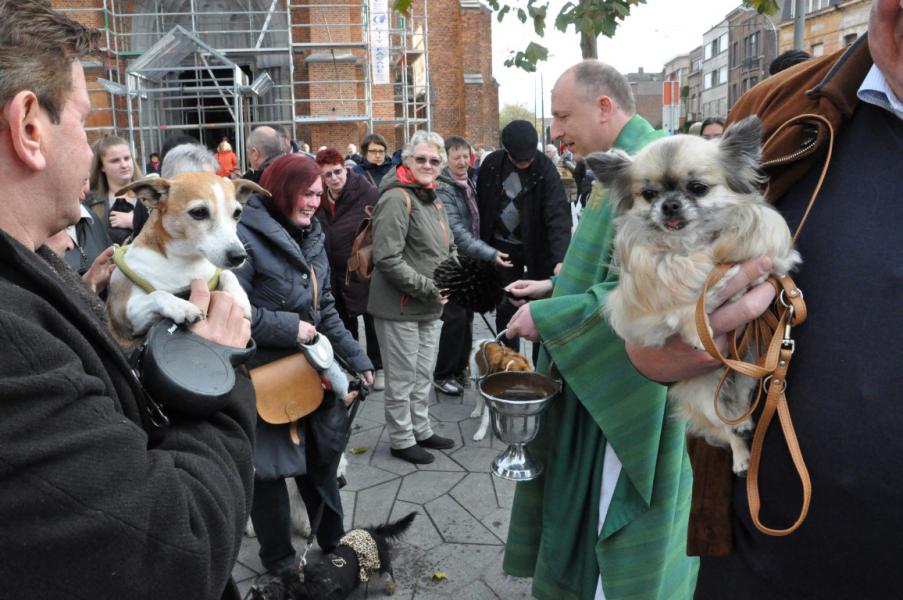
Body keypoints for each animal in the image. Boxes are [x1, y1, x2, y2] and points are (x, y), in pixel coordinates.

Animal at [106, 171, 266, 346]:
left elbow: (227, 273)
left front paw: (240, 299)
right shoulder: (126, 316)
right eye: (199, 212)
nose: (239, 256)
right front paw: (182, 307)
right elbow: (158, 294)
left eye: (237, 213)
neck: (185, 262)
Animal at [247, 510, 416, 600]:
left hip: (379, 560)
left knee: (388, 570)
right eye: (252, 595)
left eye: (263, 597)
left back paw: (390, 586)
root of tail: (373, 531)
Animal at [588, 116, 800, 474]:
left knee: (739, 405)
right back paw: (741, 457)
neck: (690, 246)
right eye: (649, 194)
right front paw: (700, 329)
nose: (670, 203)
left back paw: (744, 421)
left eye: (698, 188)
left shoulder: (772, 260)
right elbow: (686, 304)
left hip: (752, 372)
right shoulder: (637, 314)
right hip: (706, 402)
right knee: (725, 429)